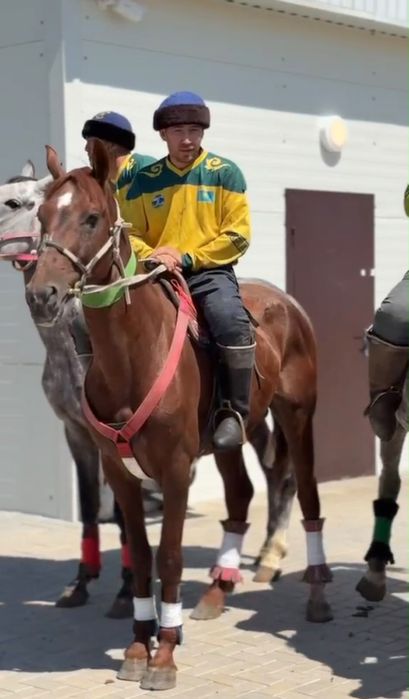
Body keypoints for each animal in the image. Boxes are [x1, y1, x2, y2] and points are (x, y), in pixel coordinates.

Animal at [0, 162, 134, 618]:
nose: (43, 297)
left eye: (14, 202)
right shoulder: (76, 432)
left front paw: (127, 590)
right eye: (42, 215)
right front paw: (80, 583)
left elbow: (122, 513)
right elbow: (92, 504)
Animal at [26, 142, 333, 691]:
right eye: (41, 215)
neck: (132, 356)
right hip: (232, 437)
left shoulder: (174, 470)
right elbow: (142, 553)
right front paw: (136, 645)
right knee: (241, 494)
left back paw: (314, 593)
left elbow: (168, 557)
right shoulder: (119, 472)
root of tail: (287, 302)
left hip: (298, 417)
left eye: (91, 217)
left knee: (308, 496)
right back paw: (216, 591)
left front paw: (164, 654)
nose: (42, 296)